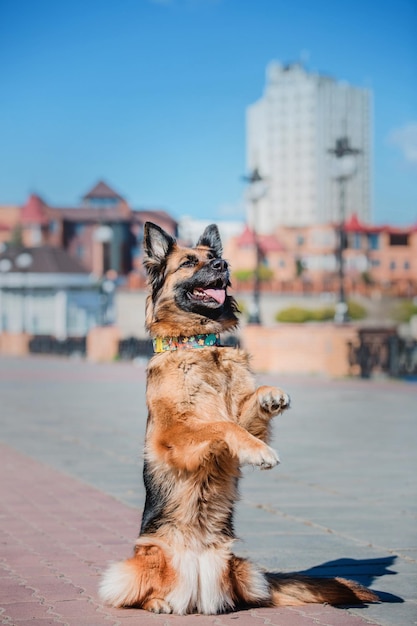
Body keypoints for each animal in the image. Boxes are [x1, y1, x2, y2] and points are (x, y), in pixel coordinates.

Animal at [99, 222, 378, 612]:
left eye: (215, 257)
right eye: (189, 262)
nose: (223, 265)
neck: (201, 344)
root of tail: (197, 595)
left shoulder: (232, 425)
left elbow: (243, 414)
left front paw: (270, 396)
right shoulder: (174, 438)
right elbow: (221, 423)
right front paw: (261, 453)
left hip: (242, 569)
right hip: (134, 565)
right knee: (139, 592)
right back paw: (159, 602)